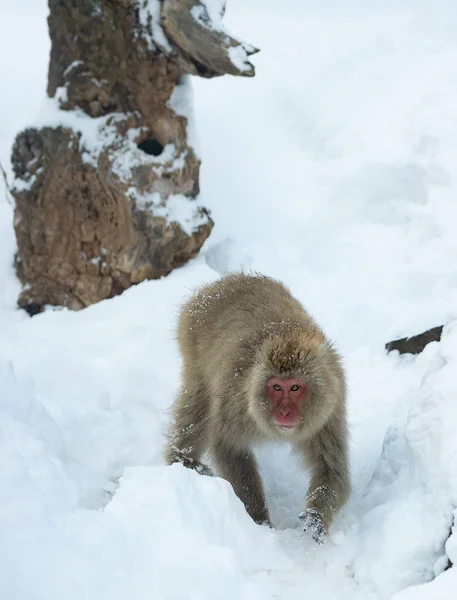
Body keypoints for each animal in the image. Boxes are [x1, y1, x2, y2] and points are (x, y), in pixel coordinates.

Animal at [164, 272, 350, 544]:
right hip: (191, 342)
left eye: (295, 387)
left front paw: (315, 519)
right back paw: (183, 460)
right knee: (198, 403)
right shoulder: (238, 403)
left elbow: (331, 468)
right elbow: (229, 446)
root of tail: (222, 283)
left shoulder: (330, 408)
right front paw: (258, 519)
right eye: (277, 387)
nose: (284, 413)